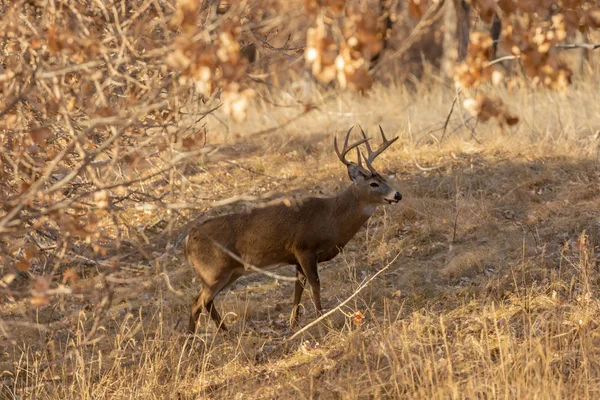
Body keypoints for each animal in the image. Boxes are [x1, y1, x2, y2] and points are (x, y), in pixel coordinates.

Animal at [186, 126, 404, 332]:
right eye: (374, 184)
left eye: (384, 179)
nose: (398, 195)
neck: (331, 218)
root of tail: (188, 241)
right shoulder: (304, 248)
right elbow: (315, 284)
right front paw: (320, 319)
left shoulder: (297, 257)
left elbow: (298, 288)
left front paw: (293, 323)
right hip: (213, 271)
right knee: (197, 302)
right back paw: (192, 338)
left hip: (231, 271)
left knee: (206, 301)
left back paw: (223, 332)